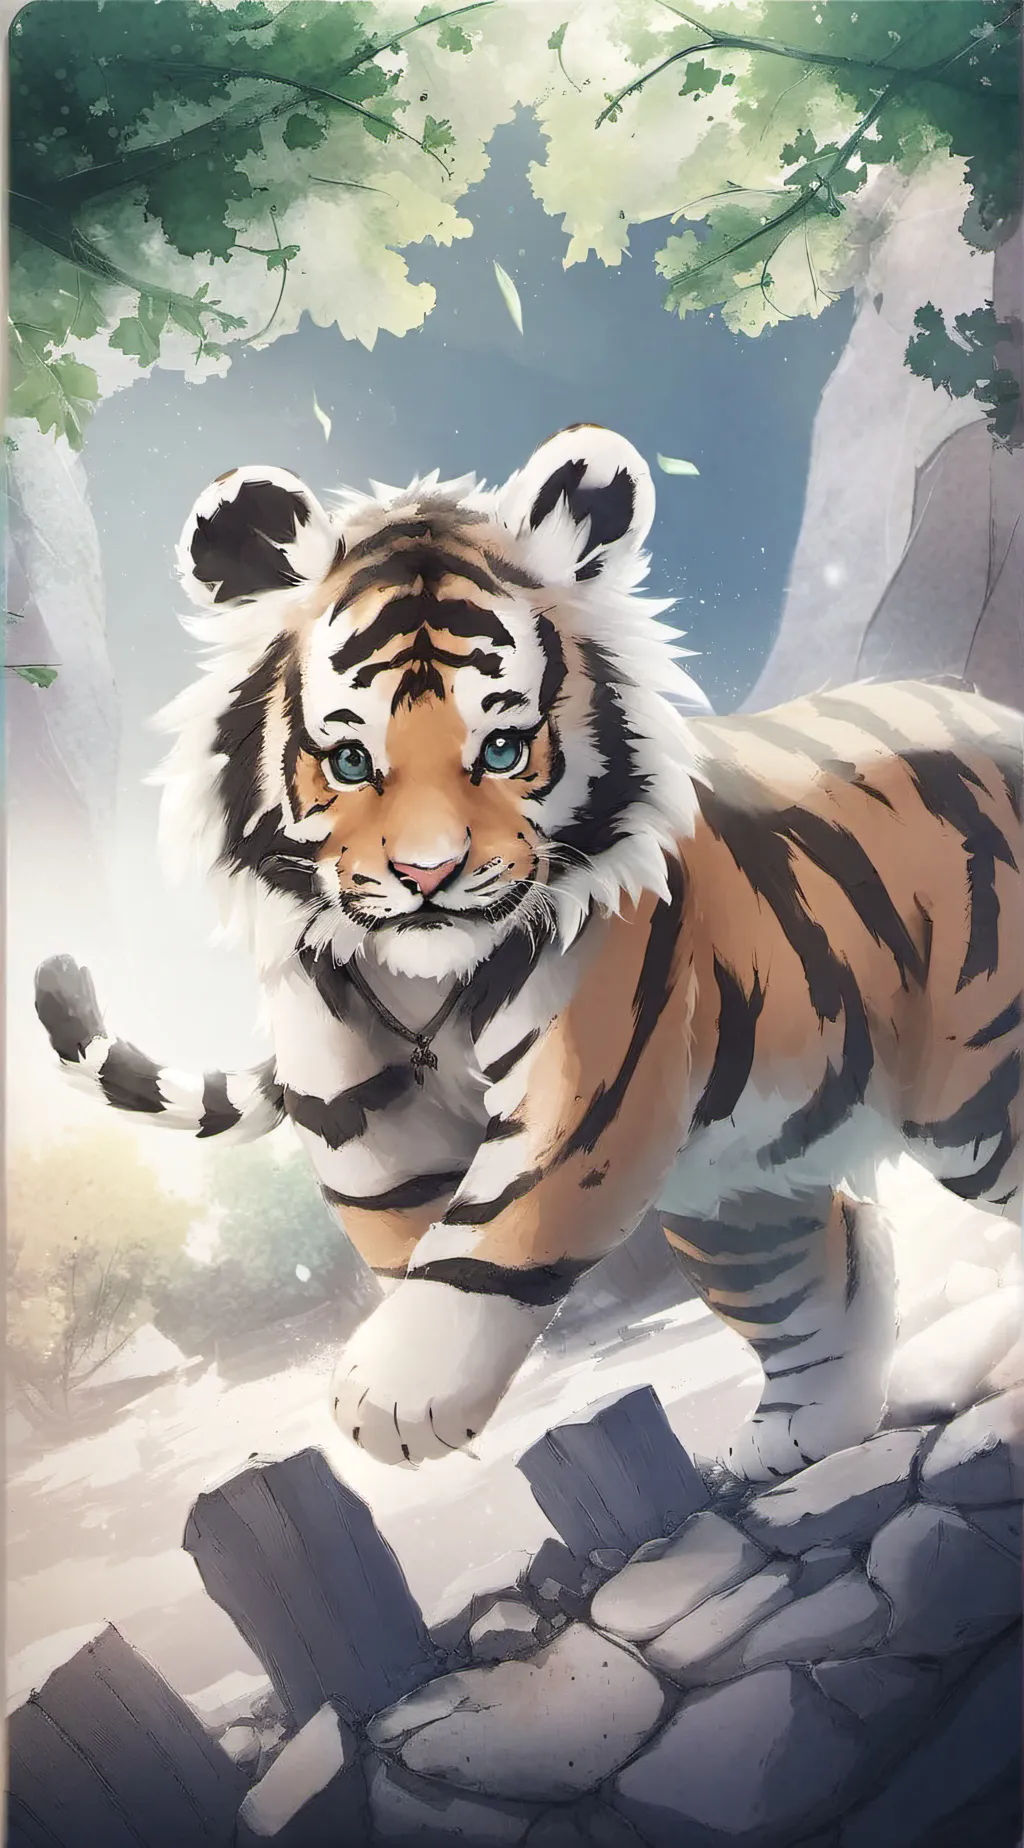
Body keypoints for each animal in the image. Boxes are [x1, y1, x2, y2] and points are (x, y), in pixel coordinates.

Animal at [34, 424, 1024, 1482]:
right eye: (351, 762)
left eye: (504, 750)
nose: (428, 875)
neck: (422, 981)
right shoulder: (350, 1089)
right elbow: (404, 1213)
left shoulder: (591, 1075)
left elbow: (499, 1220)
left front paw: (397, 1397)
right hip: (738, 1181)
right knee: (827, 1261)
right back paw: (797, 1435)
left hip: (973, 1089)